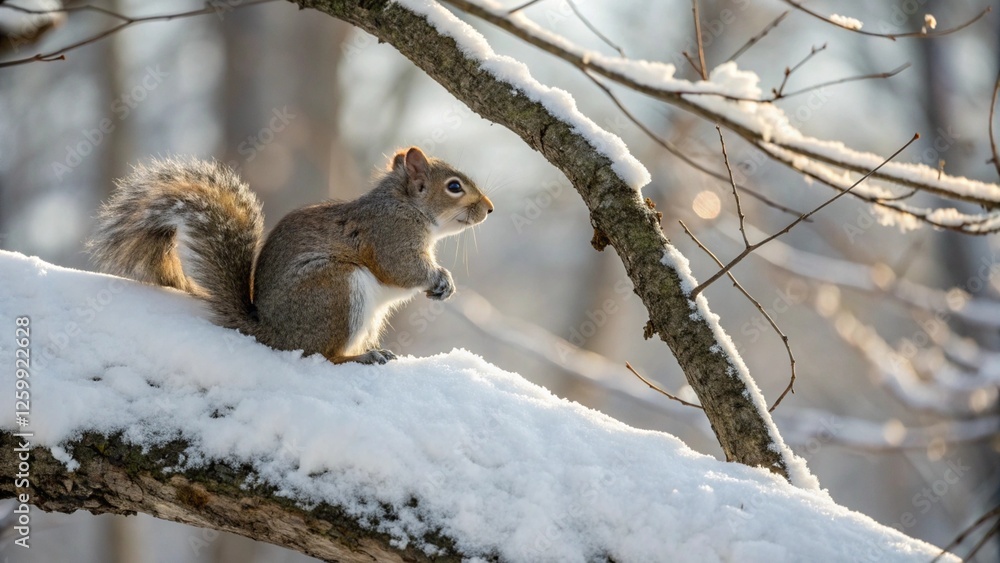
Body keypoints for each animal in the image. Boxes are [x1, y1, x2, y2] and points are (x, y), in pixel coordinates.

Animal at [88, 147, 493, 364]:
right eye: (454, 187)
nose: (489, 209)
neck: (407, 206)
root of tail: (271, 332)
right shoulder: (390, 236)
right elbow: (402, 269)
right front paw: (439, 278)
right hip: (335, 289)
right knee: (322, 354)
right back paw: (361, 356)